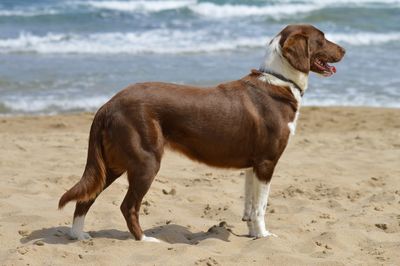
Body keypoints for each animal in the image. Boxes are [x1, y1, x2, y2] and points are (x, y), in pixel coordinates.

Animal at [58, 23, 344, 242]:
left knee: (87, 196)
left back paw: (78, 235)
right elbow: (261, 207)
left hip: (113, 163)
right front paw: (264, 236)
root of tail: (109, 104)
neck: (279, 81)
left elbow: (250, 206)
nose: (344, 49)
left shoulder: (254, 165)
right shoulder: (267, 162)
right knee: (127, 206)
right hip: (145, 161)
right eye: (322, 39)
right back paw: (144, 239)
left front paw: (253, 234)